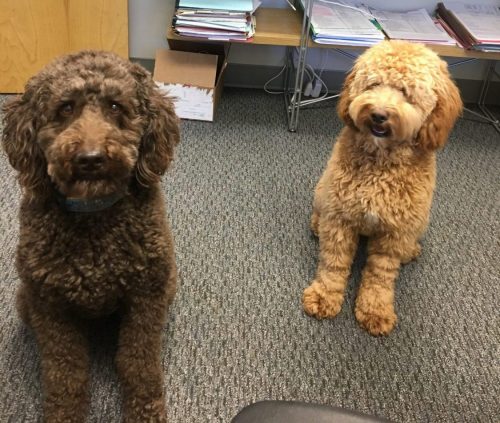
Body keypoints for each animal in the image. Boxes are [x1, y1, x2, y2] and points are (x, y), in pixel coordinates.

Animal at [0, 51, 181, 422]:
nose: (91, 159)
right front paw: (63, 414)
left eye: (115, 106)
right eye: (65, 108)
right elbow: (65, 372)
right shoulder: (49, 306)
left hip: (167, 285)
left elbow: (138, 364)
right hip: (25, 300)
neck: (94, 213)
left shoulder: (146, 299)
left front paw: (146, 411)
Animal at [302, 41, 462, 336]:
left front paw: (375, 311)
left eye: (406, 93)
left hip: (420, 219)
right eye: (373, 84)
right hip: (322, 191)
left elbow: (380, 275)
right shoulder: (340, 218)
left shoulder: (394, 233)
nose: (378, 114)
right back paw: (317, 226)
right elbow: (333, 263)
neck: (380, 164)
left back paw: (411, 251)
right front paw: (324, 296)